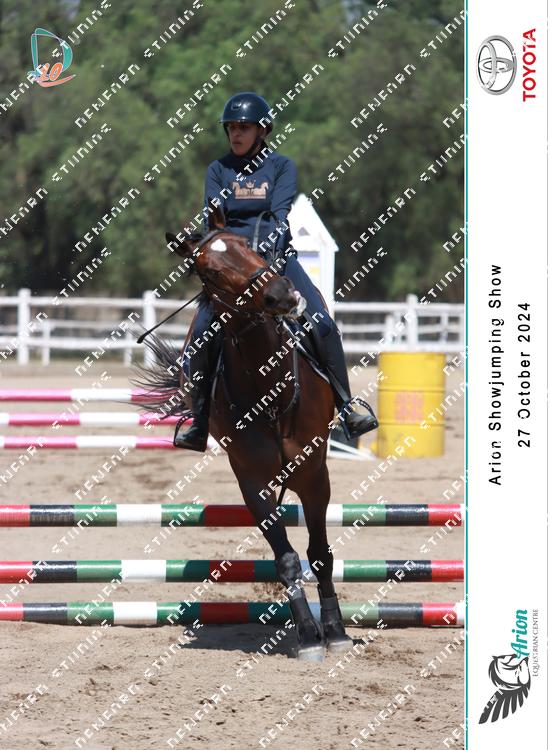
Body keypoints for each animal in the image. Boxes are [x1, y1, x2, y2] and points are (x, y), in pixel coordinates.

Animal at [134, 205, 353, 660]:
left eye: (249, 248)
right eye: (210, 272)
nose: (282, 295)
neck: (268, 388)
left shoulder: (314, 472)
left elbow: (319, 553)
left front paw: (336, 630)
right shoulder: (252, 480)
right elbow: (286, 558)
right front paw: (308, 635)